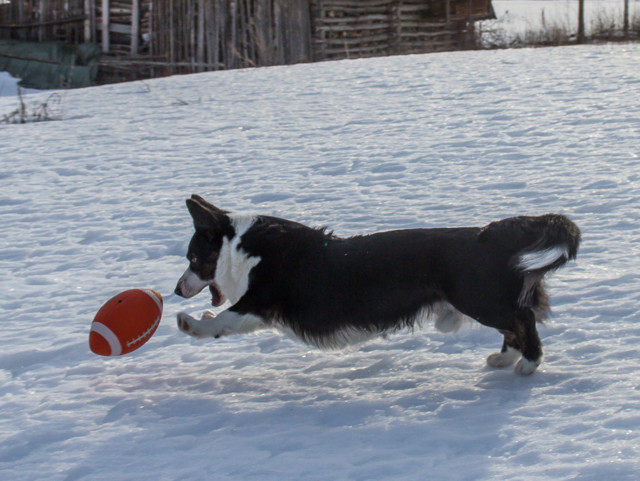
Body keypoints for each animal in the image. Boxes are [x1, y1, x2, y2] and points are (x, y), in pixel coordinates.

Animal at [175, 194, 580, 376]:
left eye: (193, 258)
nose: (177, 290)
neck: (239, 246)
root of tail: (488, 236)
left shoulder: (260, 300)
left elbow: (222, 320)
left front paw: (190, 322)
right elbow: (224, 319)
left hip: (479, 299)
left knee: (523, 321)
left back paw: (528, 363)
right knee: (514, 326)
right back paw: (504, 359)